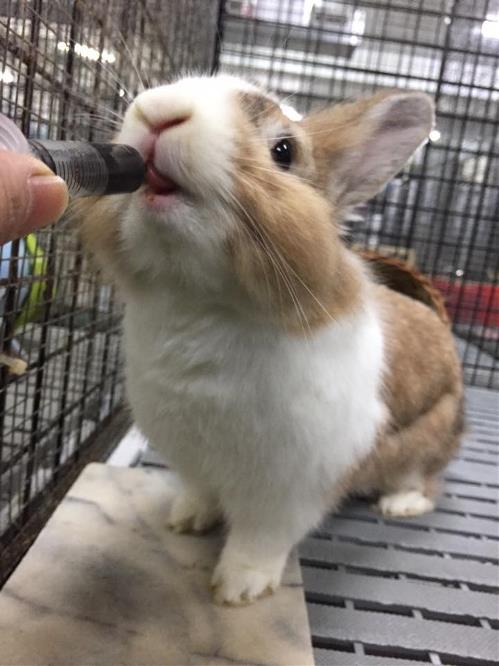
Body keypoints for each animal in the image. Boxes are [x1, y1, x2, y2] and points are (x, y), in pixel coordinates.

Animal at [78, 75, 464, 605]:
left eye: (284, 151)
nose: (160, 112)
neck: (198, 303)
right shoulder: (192, 458)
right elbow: (200, 492)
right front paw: (186, 520)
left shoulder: (291, 489)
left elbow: (259, 539)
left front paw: (238, 589)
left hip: (428, 442)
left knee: (428, 484)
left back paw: (399, 505)